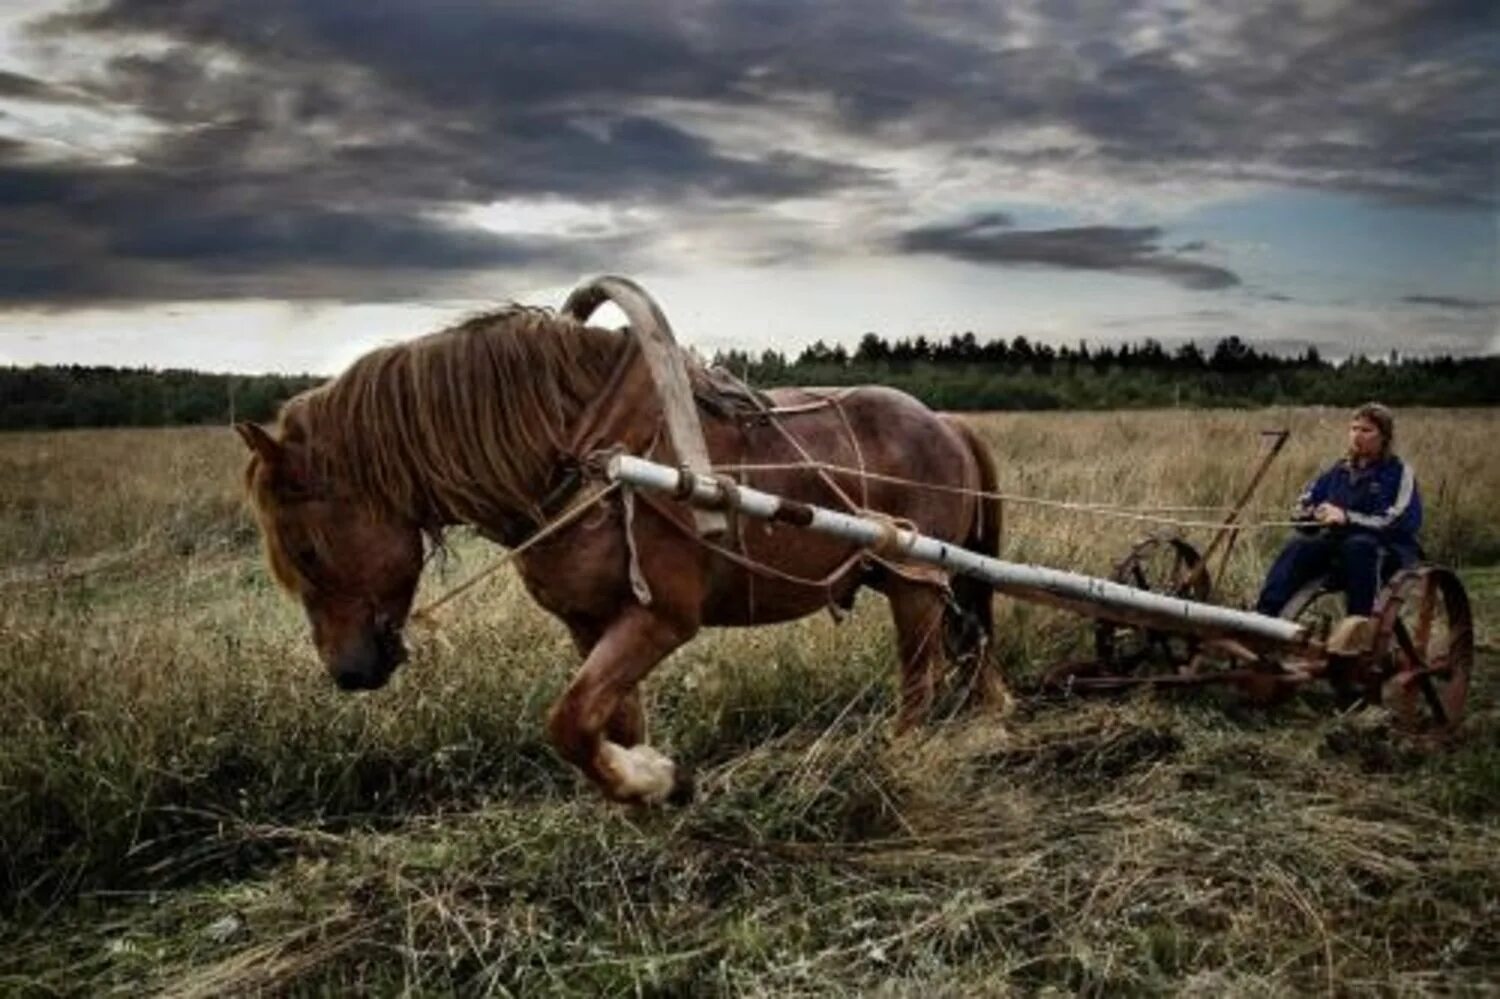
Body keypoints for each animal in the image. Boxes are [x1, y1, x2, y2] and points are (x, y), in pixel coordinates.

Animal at [237, 277, 1008, 804]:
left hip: (913, 582)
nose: (347, 673)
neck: (587, 457)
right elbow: (610, 721)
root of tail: (946, 422)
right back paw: (992, 719)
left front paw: (652, 782)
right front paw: (654, 788)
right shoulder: (591, 623)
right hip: (923, 582)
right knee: (971, 647)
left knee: (920, 679)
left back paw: (899, 759)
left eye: (305, 550)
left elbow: (569, 722)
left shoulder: (661, 616)